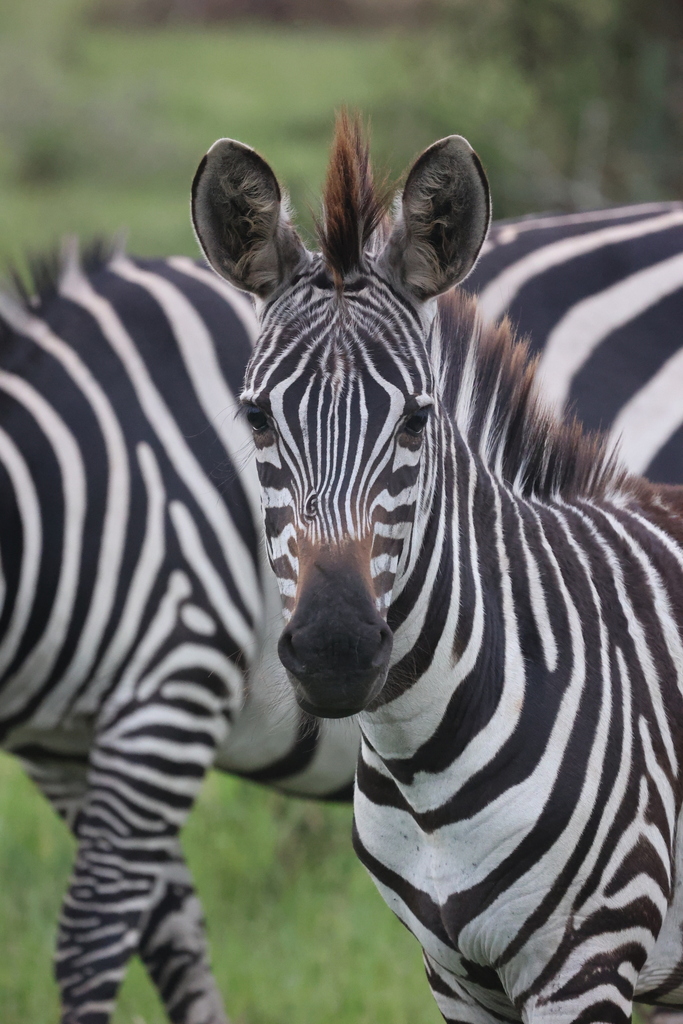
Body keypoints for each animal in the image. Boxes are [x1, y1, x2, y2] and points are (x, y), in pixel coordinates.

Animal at [191, 111, 683, 1024]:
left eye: (417, 420)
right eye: (256, 418)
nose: (335, 652)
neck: (423, 762)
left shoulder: (588, 962)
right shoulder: (453, 976)